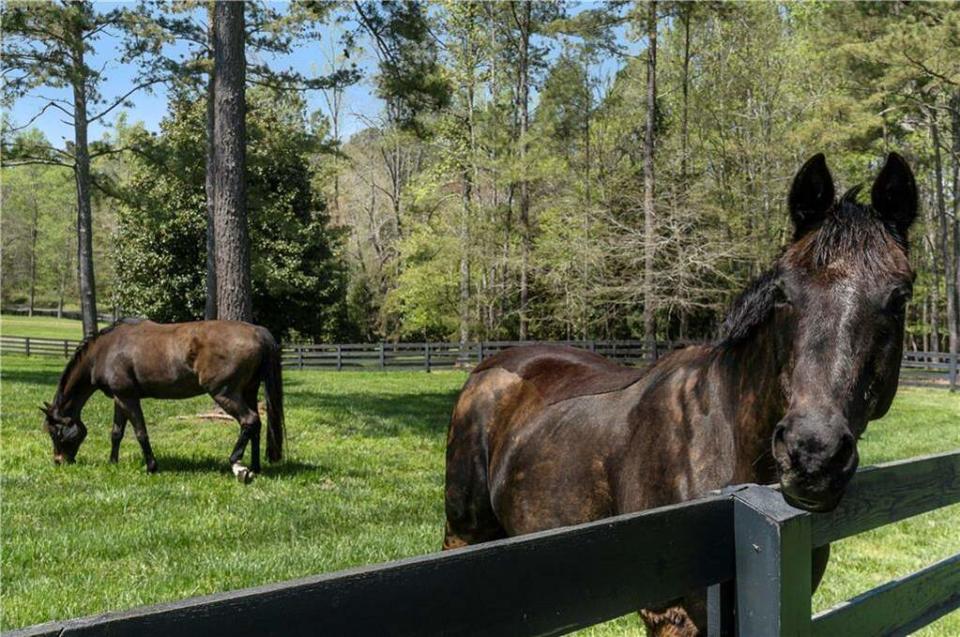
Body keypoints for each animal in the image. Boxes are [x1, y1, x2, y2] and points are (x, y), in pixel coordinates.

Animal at [42, 318, 282, 482]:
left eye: (55, 432)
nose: (59, 461)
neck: (105, 350)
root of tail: (258, 332)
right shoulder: (120, 398)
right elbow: (116, 433)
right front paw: (113, 462)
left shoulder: (128, 398)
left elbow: (140, 432)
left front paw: (151, 466)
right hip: (249, 392)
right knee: (256, 425)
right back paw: (255, 467)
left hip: (225, 393)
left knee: (249, 421)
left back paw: (237, 465)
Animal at [446, 153, 920, 632]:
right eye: (783, 292)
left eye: (900, 297)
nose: (812, 454)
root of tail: (491, 366)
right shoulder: (672, 616)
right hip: (463, 535)